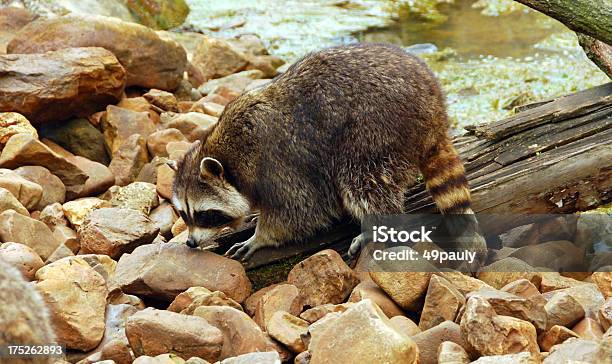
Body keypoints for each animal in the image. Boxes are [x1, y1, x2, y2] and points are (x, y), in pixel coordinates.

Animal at [171, 43, 482, 262]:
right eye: (184, 214)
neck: (230, 154)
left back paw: (373, 225)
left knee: (362, 179)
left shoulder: (276, 161)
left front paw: (262, 237)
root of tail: (435, 108)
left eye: (206, 215)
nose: (191, 243)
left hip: (378, 125)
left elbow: (302, 210)